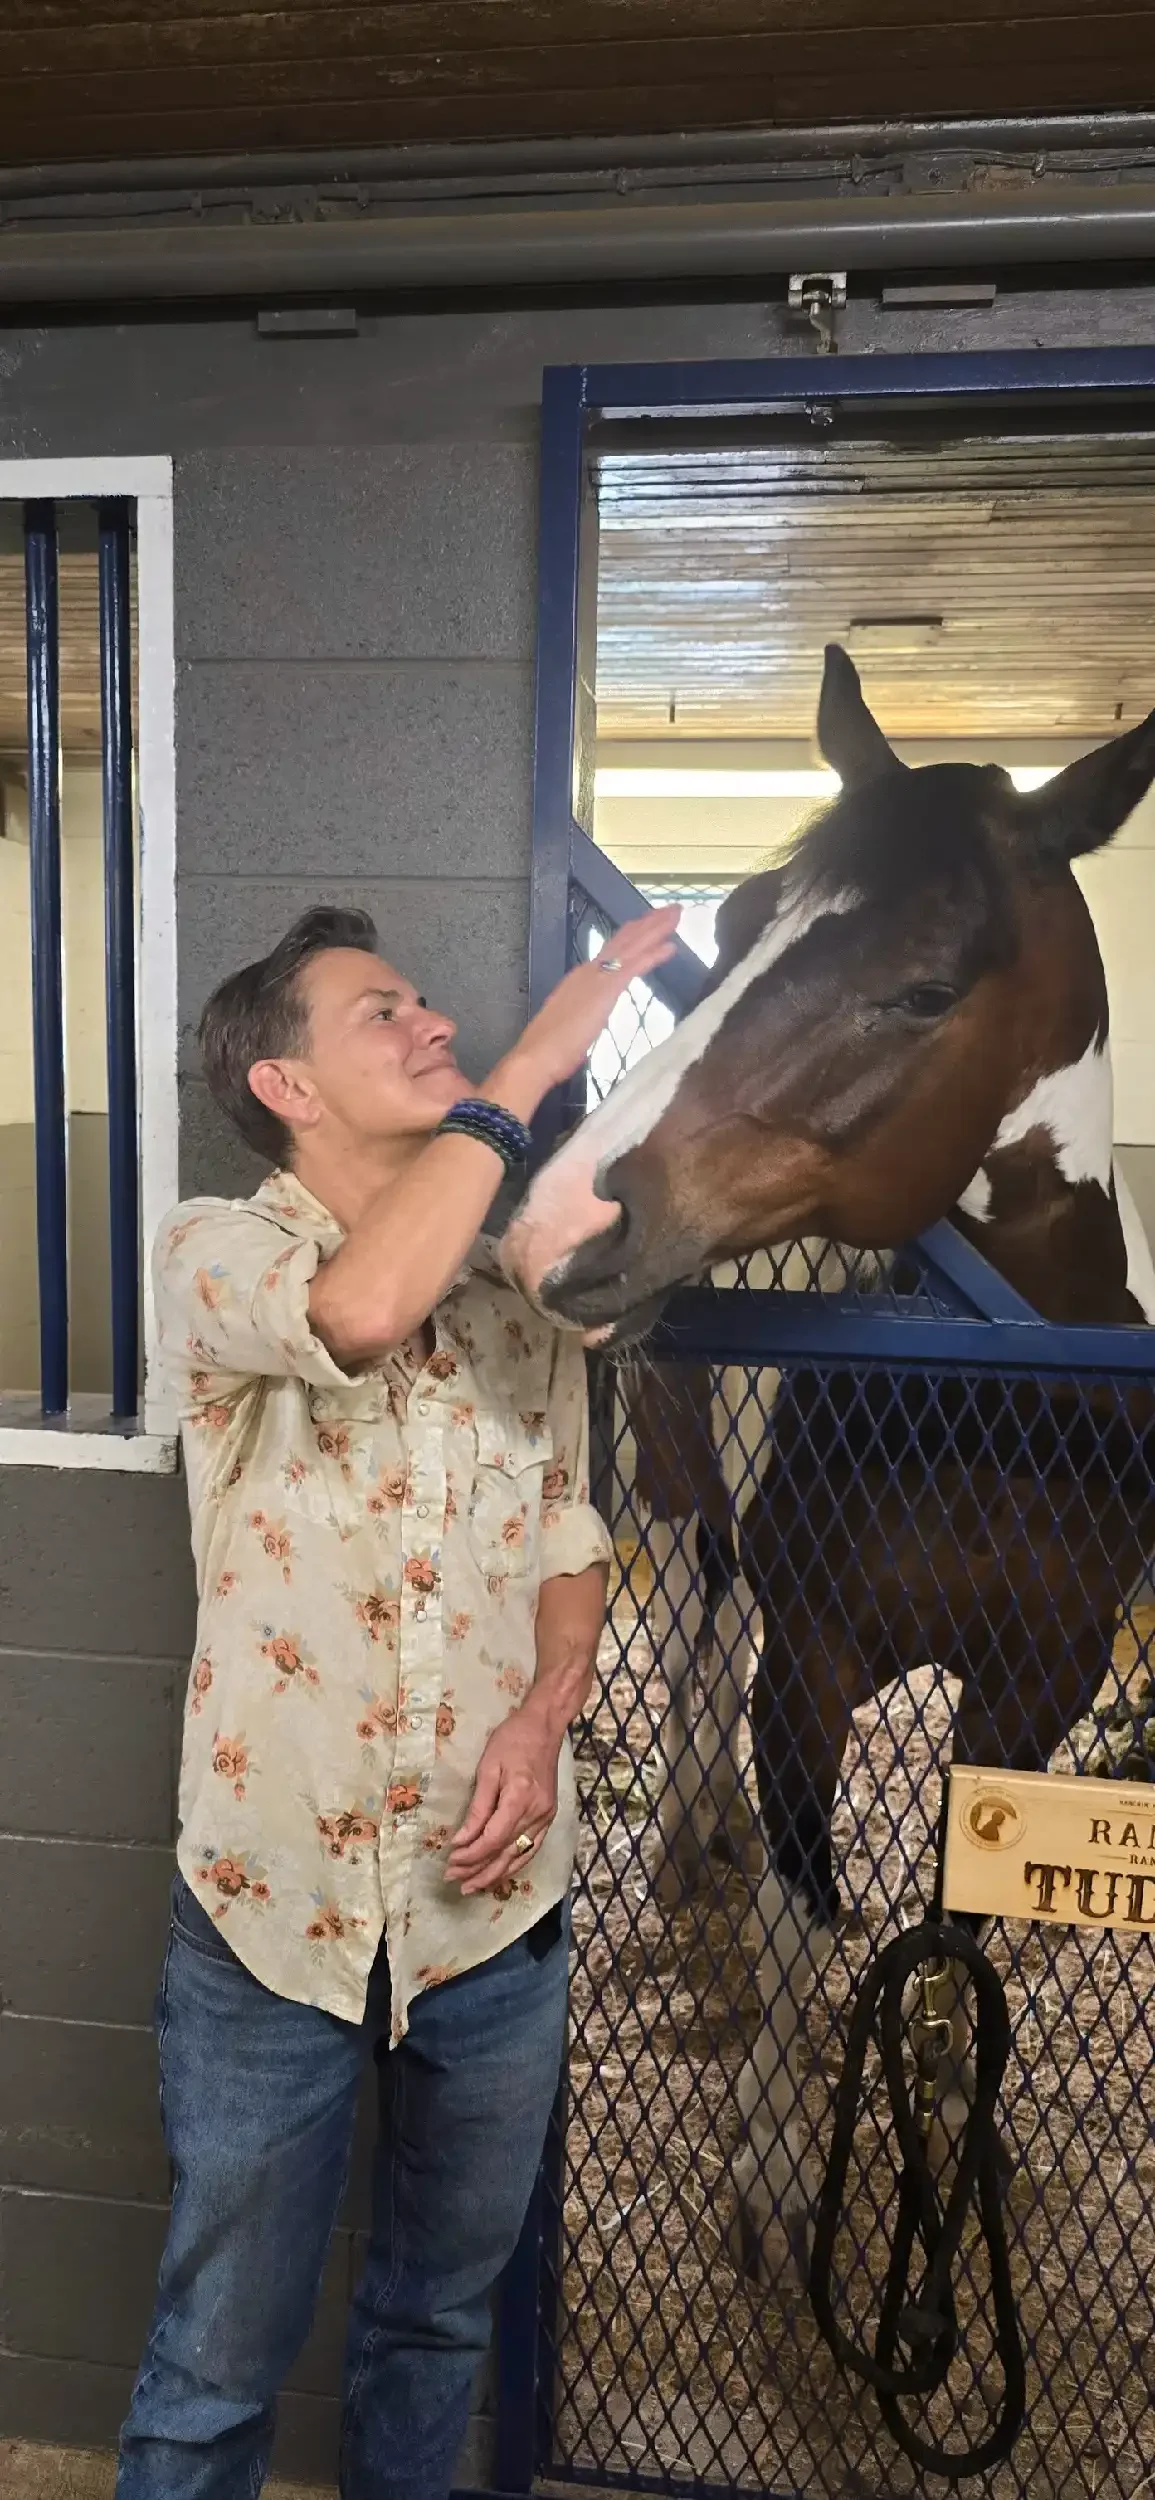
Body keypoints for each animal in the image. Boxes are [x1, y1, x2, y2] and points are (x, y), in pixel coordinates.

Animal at [502, 645, 1155, 2282]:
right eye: (734, 927)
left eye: (922, 988)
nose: (556, 1219)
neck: (989, 1418)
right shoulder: (811, 1661)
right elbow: (808, 1916)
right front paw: (782, 2161)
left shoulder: (1040, 1678)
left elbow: (957, 1914)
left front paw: (951, 2098)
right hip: (687, 1501)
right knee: (693, 1645)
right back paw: (692, 1835)